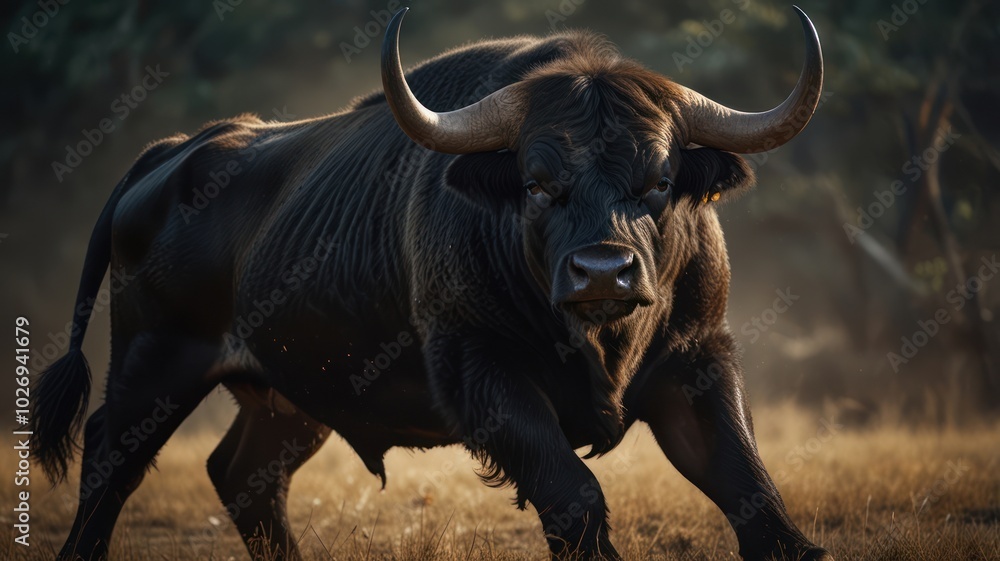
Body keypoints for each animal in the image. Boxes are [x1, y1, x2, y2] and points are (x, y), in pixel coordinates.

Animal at [32, 6, 831, 561]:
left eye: (660, 181)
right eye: (537, 184)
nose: (603, 270)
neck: (603, 339)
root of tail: (176, 152)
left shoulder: (698, 362)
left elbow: (756, 495)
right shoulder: (480, 375)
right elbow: (575, 496)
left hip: (291, 396)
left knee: (242, 472)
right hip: (153, 361)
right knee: (109, 458)